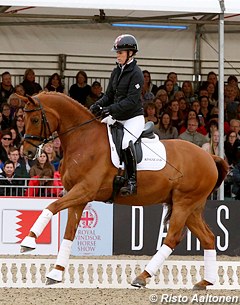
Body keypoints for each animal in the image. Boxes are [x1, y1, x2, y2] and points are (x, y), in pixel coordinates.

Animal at [19, 91, 228, 288]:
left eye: (35, 119)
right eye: (23, 119)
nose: (27, 152)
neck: (83, 139)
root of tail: (210, 157)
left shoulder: (85, 190)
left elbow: (51, 207)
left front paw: (28, 242)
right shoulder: (78, 197)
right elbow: (69, 233)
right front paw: (55, 274)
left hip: (184, 203)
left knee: (172, 238)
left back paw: (142, 277)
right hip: (190, 207)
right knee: (208, 238)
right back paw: (205, 282)